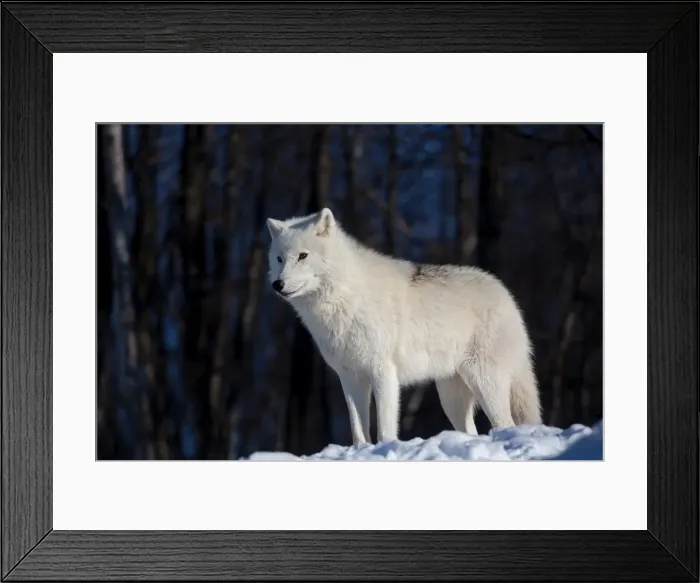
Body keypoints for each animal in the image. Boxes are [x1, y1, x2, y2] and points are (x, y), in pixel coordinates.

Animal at [266, 207, 541, 445]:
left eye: (302, 256)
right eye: (279, 259)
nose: (277, 285)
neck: (344, 297)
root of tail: (504, 293)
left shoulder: (383, 371)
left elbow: (385, 429)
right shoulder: (350, 376)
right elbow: (358, 429)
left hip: (484, 383)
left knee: (505, 424)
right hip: (451, 397)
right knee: (471, 431)